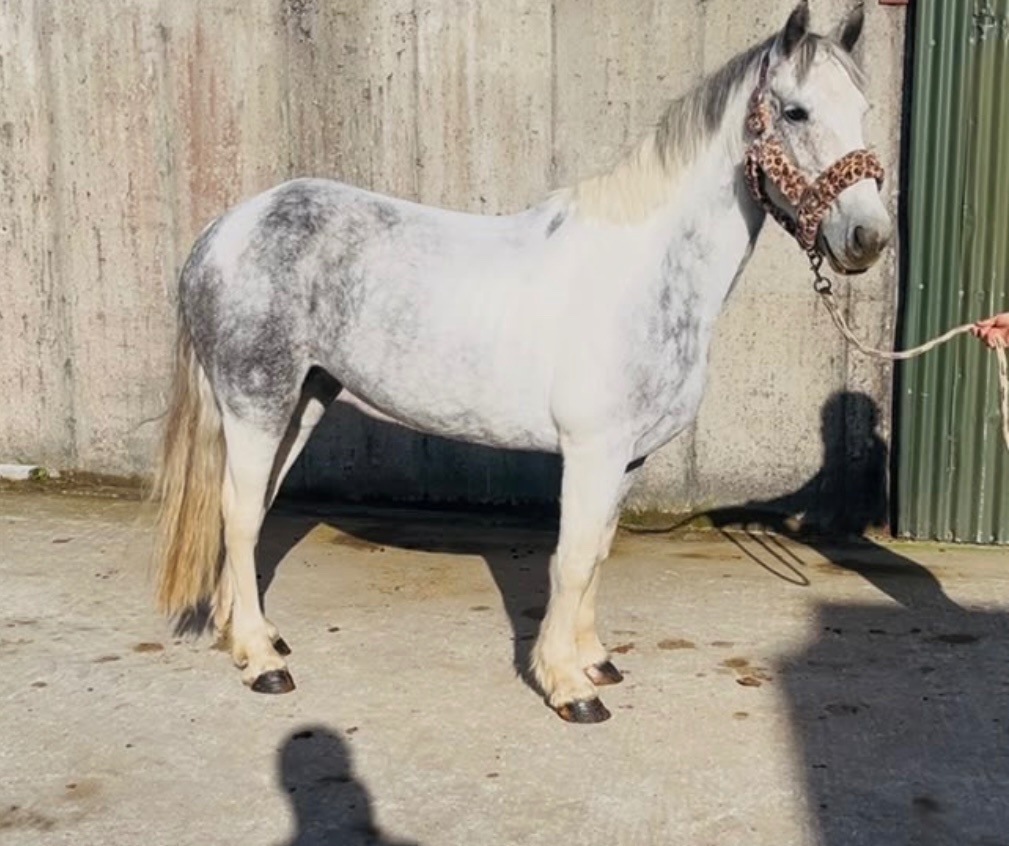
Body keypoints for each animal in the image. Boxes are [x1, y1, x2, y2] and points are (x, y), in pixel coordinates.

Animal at [154, 1, 891, 723]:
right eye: (794, 111)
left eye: (862, 109)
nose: (868, 237)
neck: (641, 272)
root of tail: (224, 230)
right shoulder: (592, 450)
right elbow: (571, 560)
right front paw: (568, 686)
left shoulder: (626, 457)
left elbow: (598, 551)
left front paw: (595, 661)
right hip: (256, 403)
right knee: (239, 515)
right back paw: (262, 663)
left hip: (303, 401)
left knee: (251, 510)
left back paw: (249, 635)